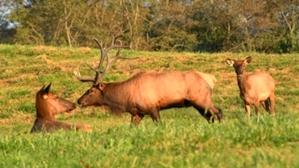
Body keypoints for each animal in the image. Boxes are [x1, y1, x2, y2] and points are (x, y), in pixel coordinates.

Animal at [74, 35, 223, 124]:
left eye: (91, 90)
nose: (79, 100)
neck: (125, 98)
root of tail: (212, 78)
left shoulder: (152, 107)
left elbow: (159, 124)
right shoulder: (137, 113)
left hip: (201, 98)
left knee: (218, 112)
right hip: (198, 102)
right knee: (210, 116)